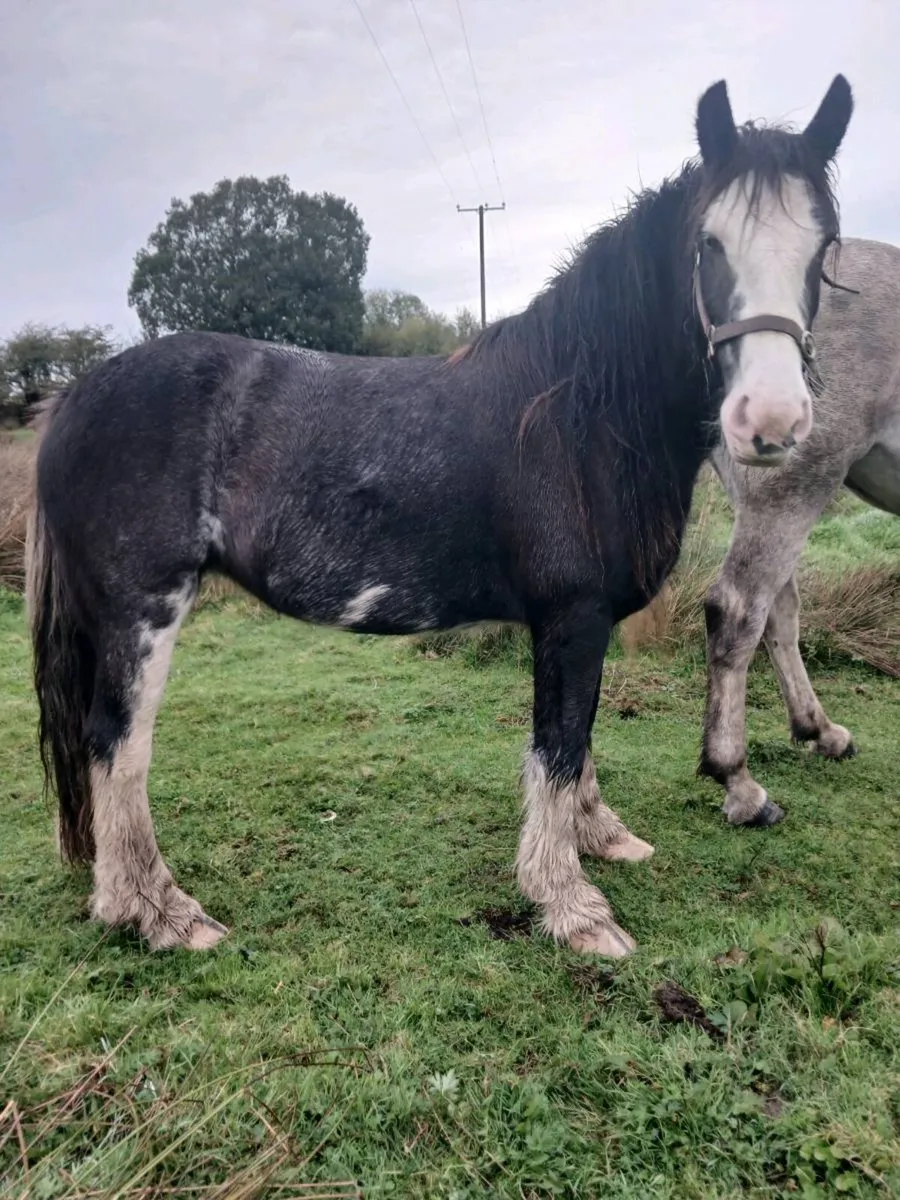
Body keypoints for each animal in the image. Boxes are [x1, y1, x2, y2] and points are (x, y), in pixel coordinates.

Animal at [25, 75, 853, 959]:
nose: (771, 422)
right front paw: (571, 905)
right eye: (708, 244)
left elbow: (582, 735)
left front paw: (602, 839)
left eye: (822, 249)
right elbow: (560, 745)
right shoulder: (571, 615)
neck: (575, 414)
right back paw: (157, 911)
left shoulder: (577, 621)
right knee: (116, 744)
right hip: (141, 610)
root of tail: (74, 394)